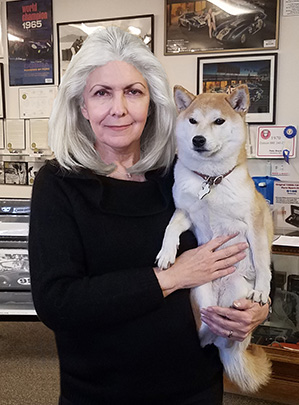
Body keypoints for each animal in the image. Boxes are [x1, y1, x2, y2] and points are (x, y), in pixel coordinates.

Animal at [157, 84, 274, 392]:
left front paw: (263, 290)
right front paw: (167, 253)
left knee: (231, 336)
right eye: (192, 121)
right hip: (201, 295)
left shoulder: (255, 222)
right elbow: (170, 228)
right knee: (209, 330)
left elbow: (262, 260)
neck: (210, 181)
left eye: (218, 121)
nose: (198, 140)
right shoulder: (186, 211)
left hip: (237, 294)